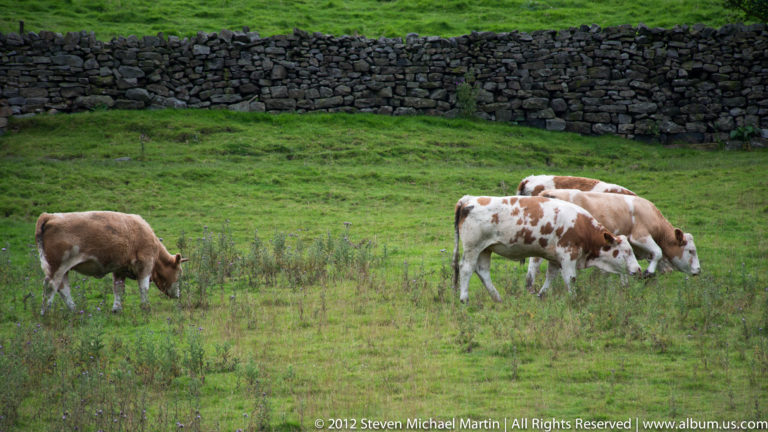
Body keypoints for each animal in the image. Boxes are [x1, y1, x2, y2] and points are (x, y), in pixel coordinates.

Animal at [35, 211, 188, 315]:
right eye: (179, 273)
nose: (178, 295)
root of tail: (49, 216)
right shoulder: (146, 264)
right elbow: (143, 288)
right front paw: (146, 307)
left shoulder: (120, 269)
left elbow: (118, 289)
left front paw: (117, 308)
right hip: (57, 267)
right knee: (50, 287)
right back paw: (45, 313)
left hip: (64, 270)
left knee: (64, 289)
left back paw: (74, 310)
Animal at [452, 195, 641, 301]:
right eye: (627, 252)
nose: (639, 270)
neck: (582, 227)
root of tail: (469, 200)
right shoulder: (568, 254)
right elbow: (570, 278)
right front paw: (574, 299)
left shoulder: (555, 257)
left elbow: (551, 276)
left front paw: (541, 295)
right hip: (473, 247)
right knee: (466, 268)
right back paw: (464, 298)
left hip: (486, 249)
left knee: (482, 271)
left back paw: (497, 298)